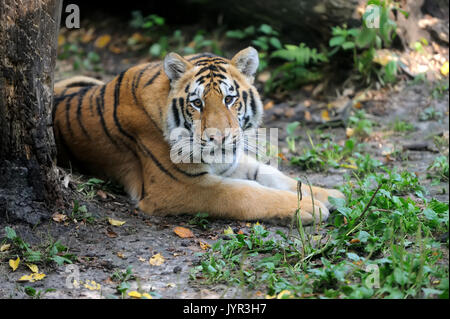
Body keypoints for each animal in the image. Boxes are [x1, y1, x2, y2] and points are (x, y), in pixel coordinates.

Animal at [52, 47, 344, 225]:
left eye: (229, 99)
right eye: (197, 103)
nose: (220, 138)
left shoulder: (231, 162)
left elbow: (273, 175)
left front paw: (330, 195)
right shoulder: (179, 186)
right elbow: (246, 193)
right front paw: (309, 207)